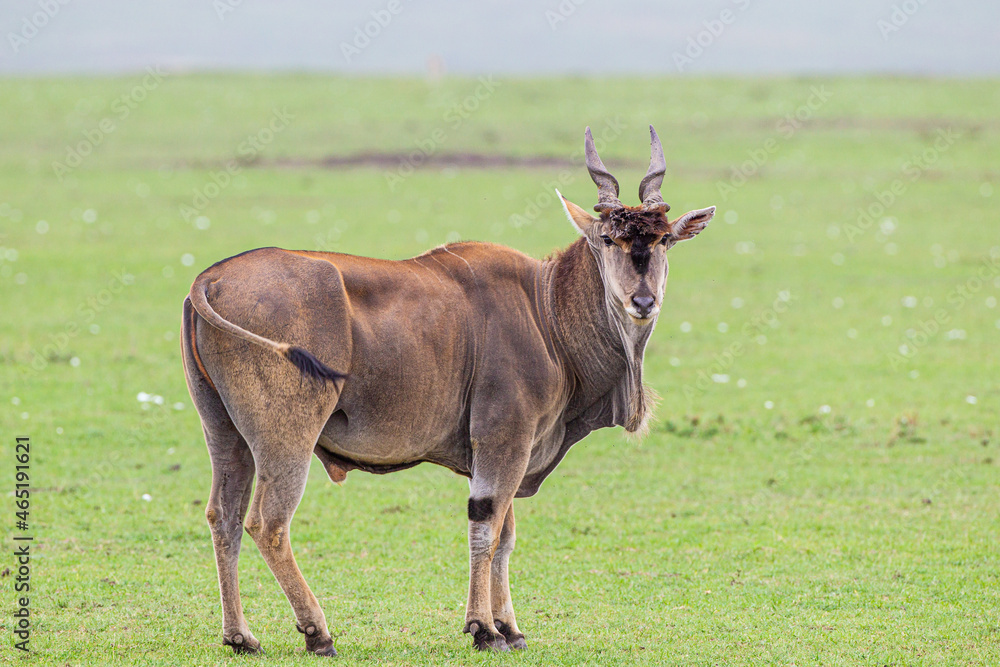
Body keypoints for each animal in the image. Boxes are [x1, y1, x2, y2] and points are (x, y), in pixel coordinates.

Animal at [181, 125, 715, 656]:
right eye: (607, 238)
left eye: (664, 240)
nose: (643, 300)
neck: (545, 307)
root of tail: (209, 279)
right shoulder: (504, 440)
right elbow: (487, 527)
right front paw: (485, 630)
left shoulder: (505, 451)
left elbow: (505, 535)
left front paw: (510, 628)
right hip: (287, 438)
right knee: (266, 523)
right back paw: (318, 632)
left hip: (224, 432)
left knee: (223, 516)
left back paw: (240, 636)